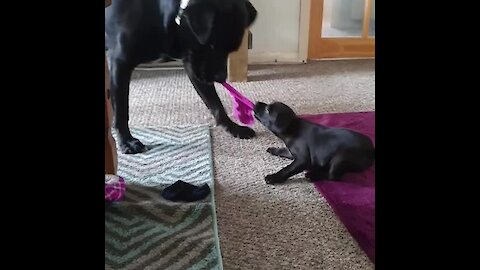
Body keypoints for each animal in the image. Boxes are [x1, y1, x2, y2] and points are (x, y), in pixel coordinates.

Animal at [103, 0, 256, 153]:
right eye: (211, 45)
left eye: (231, 50)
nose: (221, 77)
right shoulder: (119, 64)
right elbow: (121, 111)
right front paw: (126, 141)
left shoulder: (193, 64)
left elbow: (215, 103)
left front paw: (233, 128)